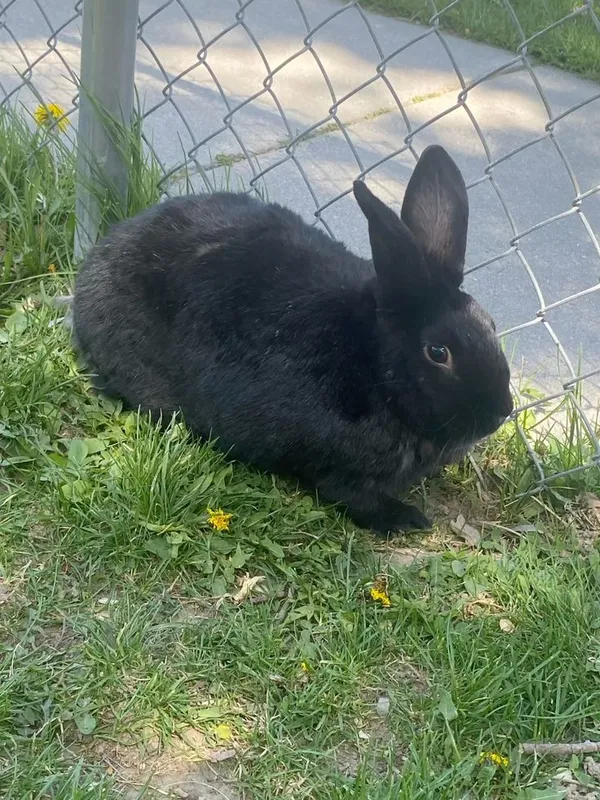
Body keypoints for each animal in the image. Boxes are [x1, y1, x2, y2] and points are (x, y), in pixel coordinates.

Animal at [72, 145, 513, 535]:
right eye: (438, 352)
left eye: (491, 324)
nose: (501, 412)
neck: (371, 363)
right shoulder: (335, 467)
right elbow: (353, 495)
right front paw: (405, 519)